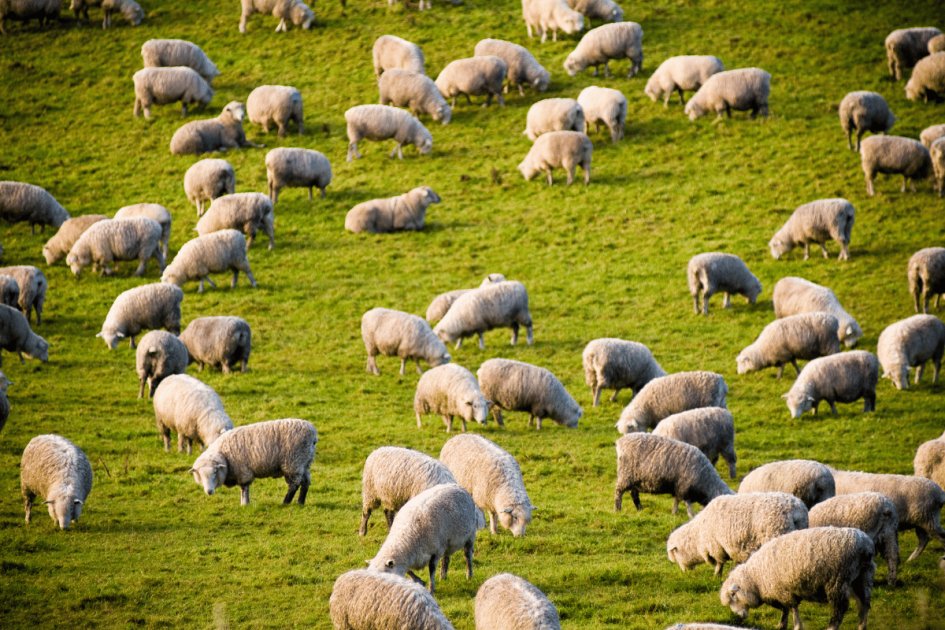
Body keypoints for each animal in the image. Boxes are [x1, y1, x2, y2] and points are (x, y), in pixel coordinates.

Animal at [667, 492, 808, 576]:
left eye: (676, 556)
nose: (685, 573)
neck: (698, 535)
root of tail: (796, 510)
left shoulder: (716, 547)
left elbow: (719, 563)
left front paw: (716, 575)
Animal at [720, 527, 875, 630]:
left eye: (733, 595)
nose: (739, 617)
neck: (755, 578)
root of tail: (865, 545)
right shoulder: (778, 592)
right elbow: (785, 609)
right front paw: (781, 624)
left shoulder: (785, 591)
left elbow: (792, 608)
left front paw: (796, 626)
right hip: (862, 578)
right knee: (864, 604)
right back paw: (862, 626)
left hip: (837, 580)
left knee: (840, 609)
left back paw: (831, 627)